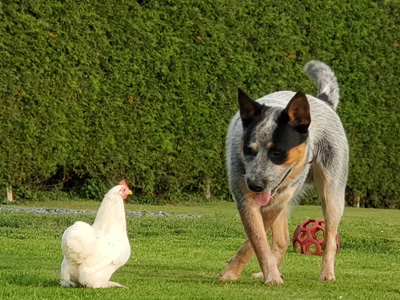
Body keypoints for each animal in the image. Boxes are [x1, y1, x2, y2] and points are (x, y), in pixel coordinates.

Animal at [220, 60, 348, 284]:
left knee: (331, 236)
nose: (254, 185)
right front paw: (241, 273)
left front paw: (260, 275)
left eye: (278, 153)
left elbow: (254, 241)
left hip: (331, 193)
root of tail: (323, 100)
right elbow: (258, 240)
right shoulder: (246, 198)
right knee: (283, 240)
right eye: (249, 150)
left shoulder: (275, 201)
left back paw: (327, 274)